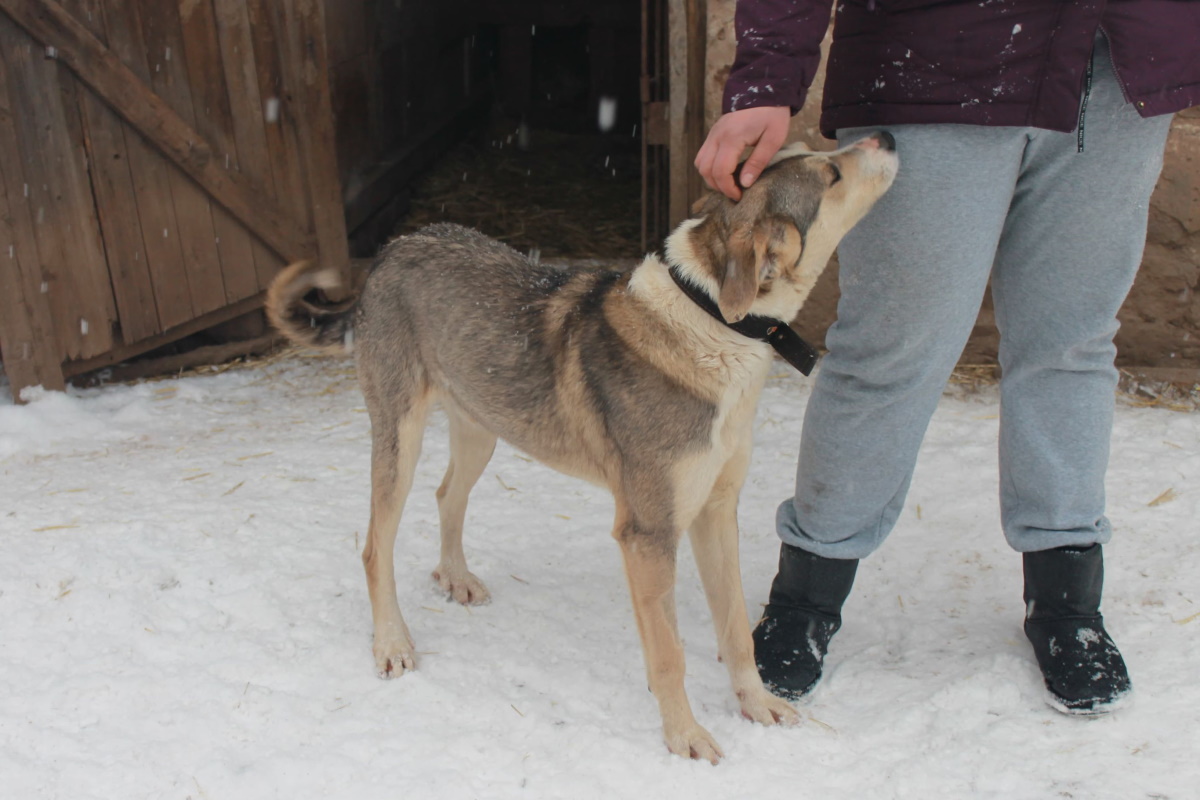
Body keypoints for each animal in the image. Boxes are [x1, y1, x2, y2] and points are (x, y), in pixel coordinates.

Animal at [265, 133, 902, 762]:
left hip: (484, 427)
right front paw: (685, 736)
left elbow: (736, 629)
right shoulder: (648, 534)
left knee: (447, 495)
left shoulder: (716, 512)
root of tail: (394, 248)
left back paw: (456, 576)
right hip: (400, 438)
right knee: (376, 547)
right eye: (831, 174)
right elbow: (668, 655)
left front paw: (756, 704)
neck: (713, 320)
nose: (888, 135)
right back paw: (392, 643)